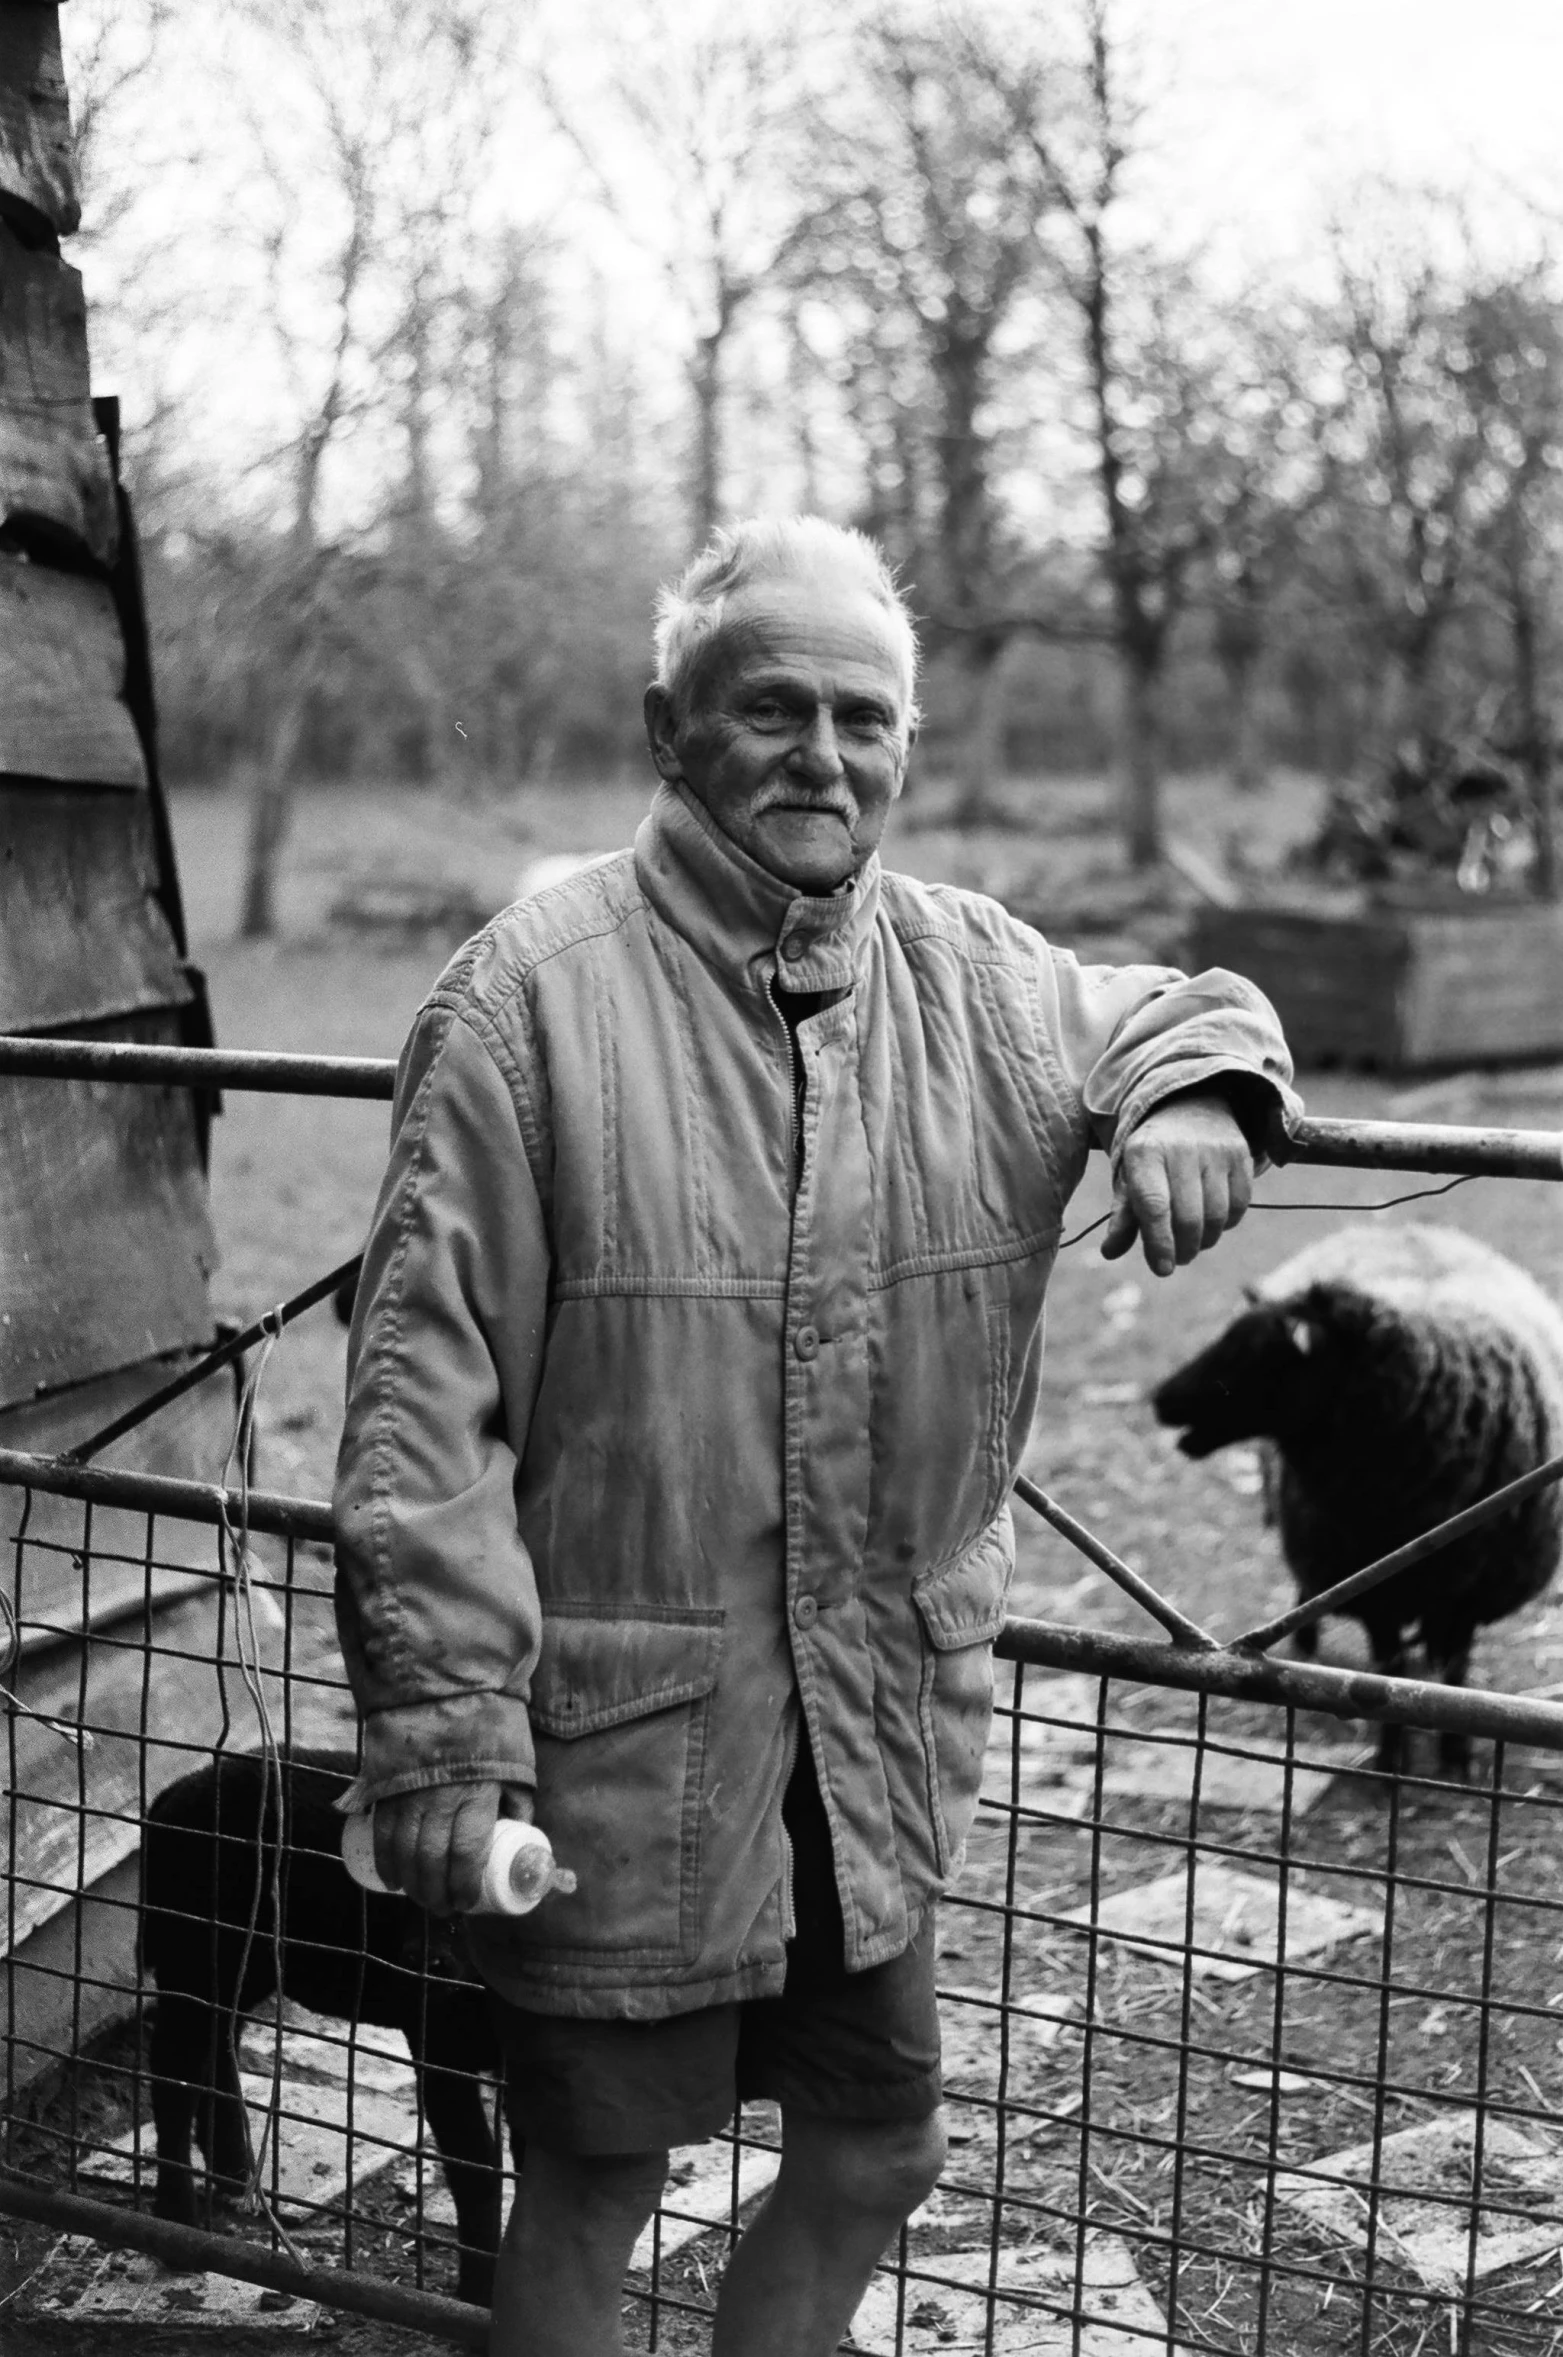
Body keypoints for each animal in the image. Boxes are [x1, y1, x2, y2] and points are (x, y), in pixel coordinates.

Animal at [139, 1753, 506, 2300]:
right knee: (173, 2073)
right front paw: (479, 2295)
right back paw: (178, 2225)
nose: (423, 1960)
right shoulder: (439, 2048)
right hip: (196, 1956)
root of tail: (169, 1798)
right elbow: (476, 2171)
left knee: (219, 2047)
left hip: (241, 1963)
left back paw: (235, 2174)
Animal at [1150, 1235, 1563, 1772]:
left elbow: (1455, 1671)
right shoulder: (1373, 1589)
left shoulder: (1467, 1594)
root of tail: (1401, 1227)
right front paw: (1390, 1758)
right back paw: (1302, 1642)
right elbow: (1386, 1672)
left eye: (1258, 1353)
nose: (1159, 1399)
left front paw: (1456, 1755)